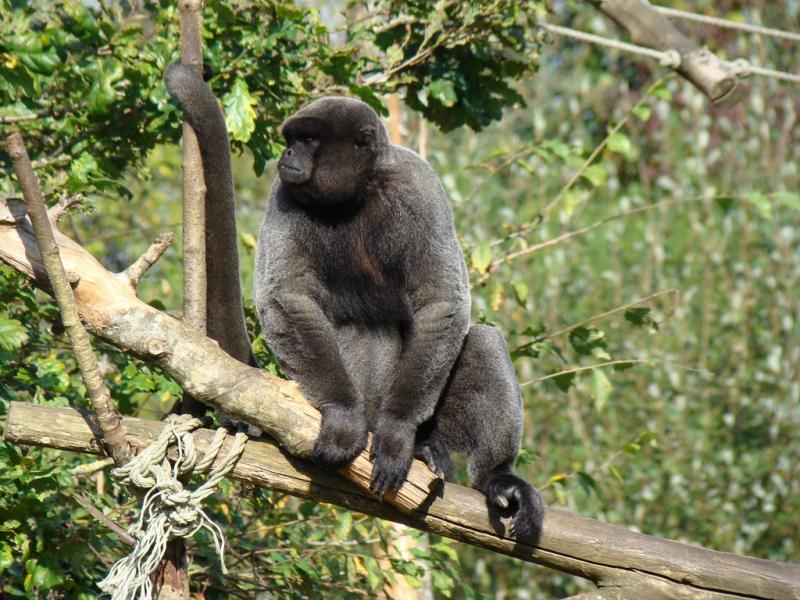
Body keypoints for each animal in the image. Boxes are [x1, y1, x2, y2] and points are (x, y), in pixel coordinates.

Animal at [164, 63, 544, 538]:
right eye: (292, 139)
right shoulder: (283, 193)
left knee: (483, 340)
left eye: (309, 140)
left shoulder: (418, 184)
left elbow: (442, 302)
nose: (288, 155)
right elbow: (287, 295)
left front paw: (398, 433)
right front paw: (344, 415)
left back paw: (483, 471)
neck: (356, 192)